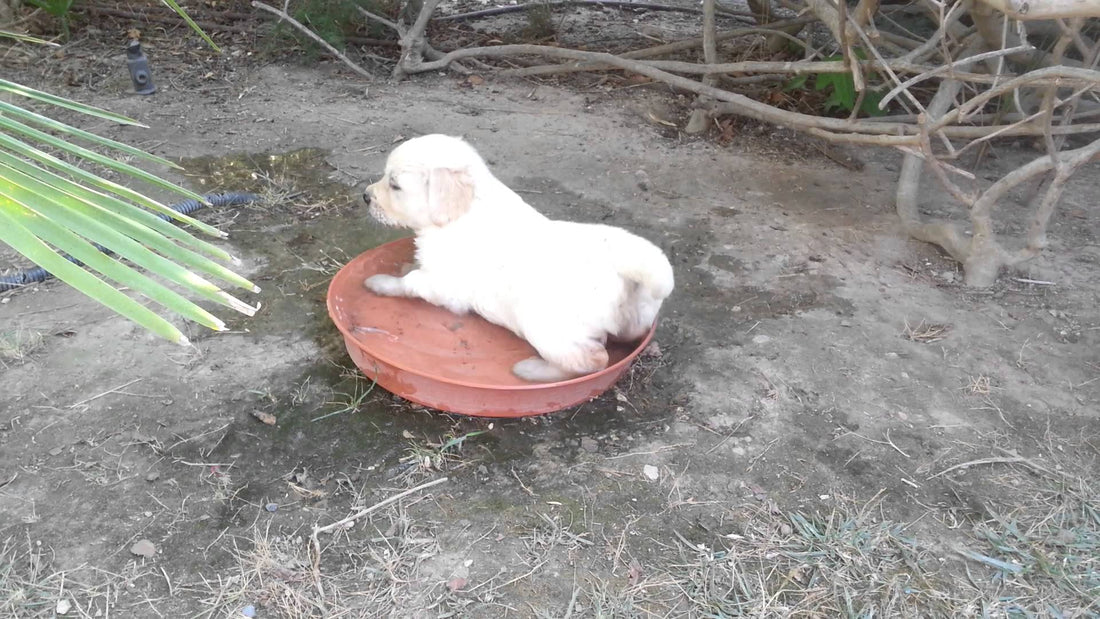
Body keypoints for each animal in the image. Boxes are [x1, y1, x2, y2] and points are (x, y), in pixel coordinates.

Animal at [363, 135, 668, 382]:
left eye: (395, 185)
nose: (365, 196)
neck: (461, 213)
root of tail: (622, 265)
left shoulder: (444, 285)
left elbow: (410, 282)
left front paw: (382, 283)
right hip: (638, 314)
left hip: (544, 324)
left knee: (592, 359)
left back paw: (533, 371)